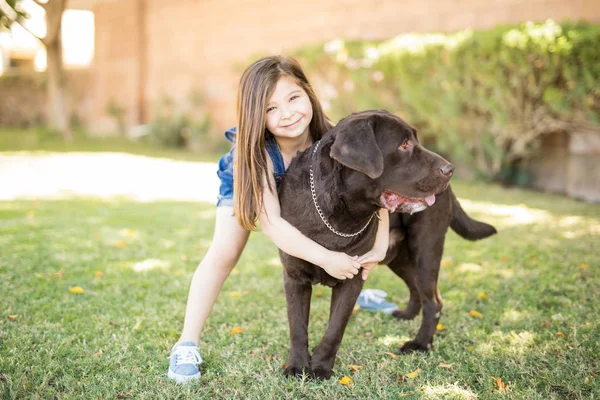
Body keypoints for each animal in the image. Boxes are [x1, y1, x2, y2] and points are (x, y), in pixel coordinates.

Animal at [278, 108, 496, 378]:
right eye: (404, 144)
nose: (450, 169)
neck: (335, 214)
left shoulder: (354, 278)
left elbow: (335, 328)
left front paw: (320, 368)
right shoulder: (294, 276)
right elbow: (297, 325)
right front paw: (298, 366)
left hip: (426, 248)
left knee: (433, 300)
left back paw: (420, 344)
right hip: (398, 256)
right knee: (417, 288)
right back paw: (407, 315)